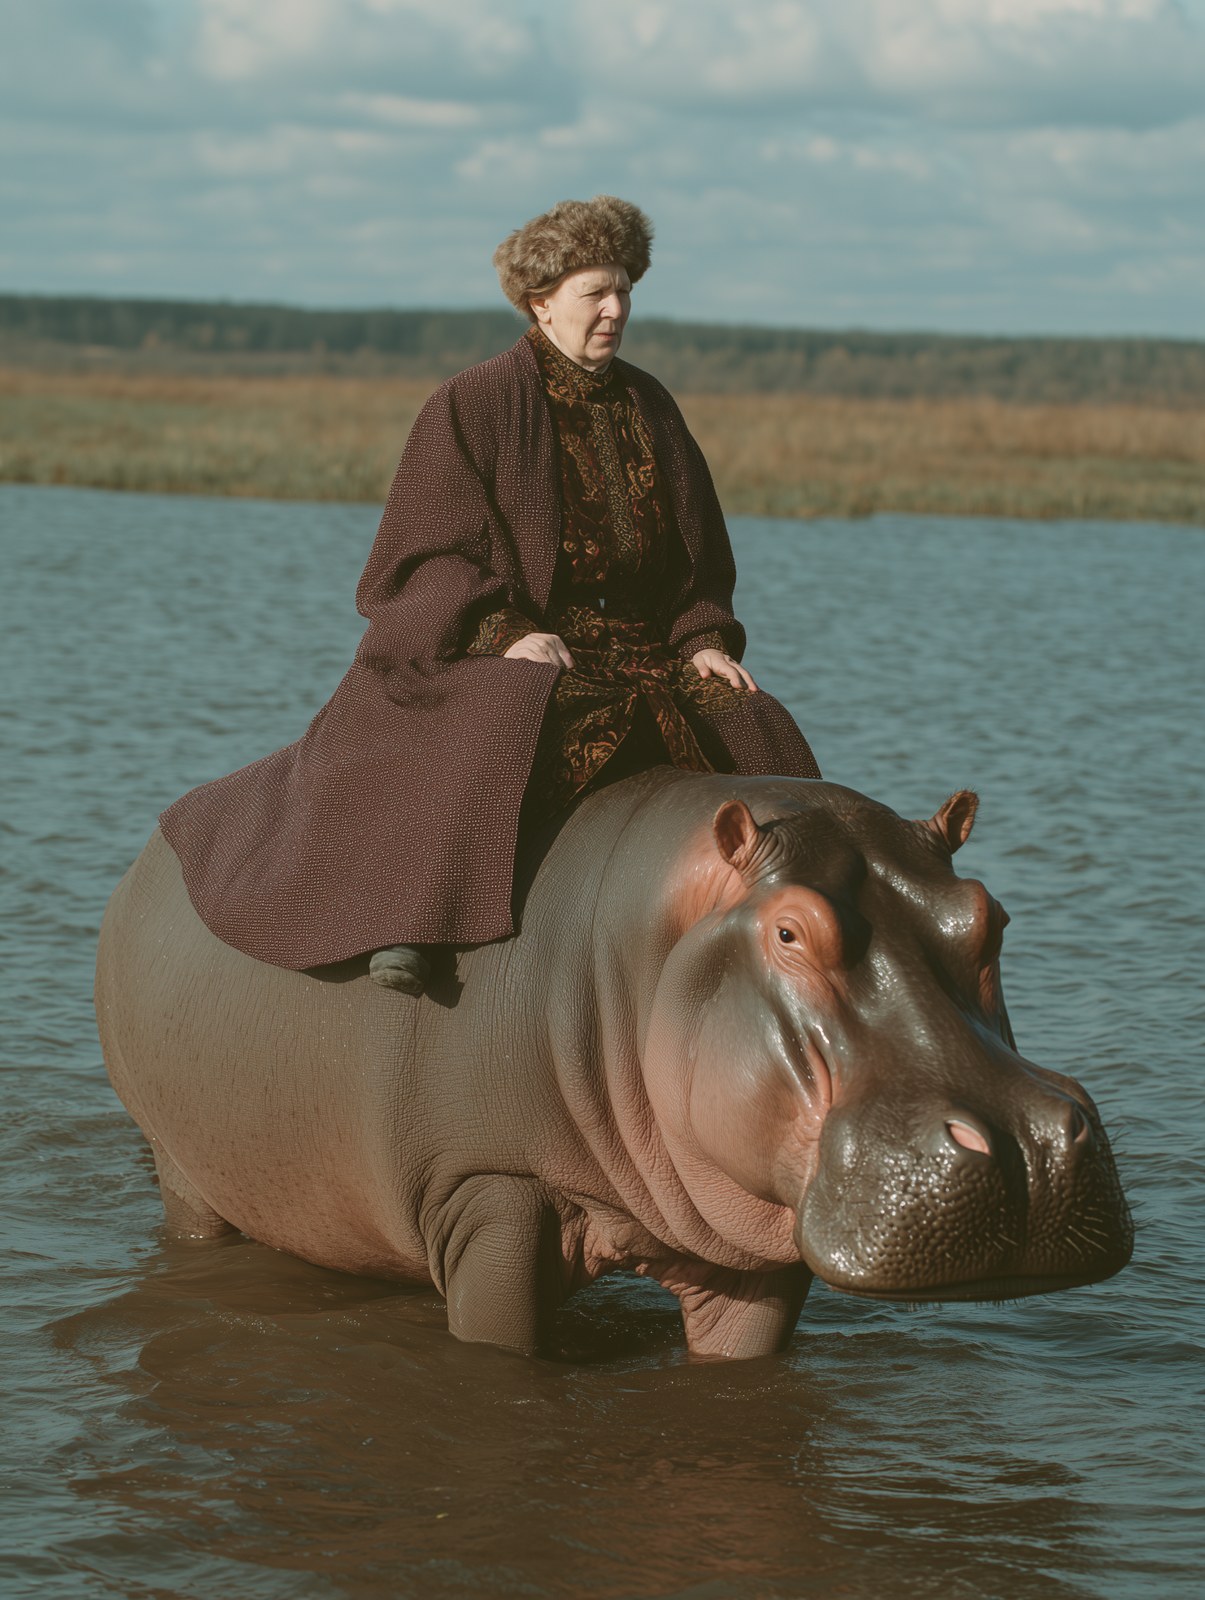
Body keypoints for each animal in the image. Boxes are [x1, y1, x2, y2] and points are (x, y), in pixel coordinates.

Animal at [95, 771, 1133, 1359]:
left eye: (988, 915)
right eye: (788, 930)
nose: (1026, 1147)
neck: (640, 945)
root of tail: (153, 846)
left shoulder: (750, 1255)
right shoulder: (489, 1190)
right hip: (183, 1172)